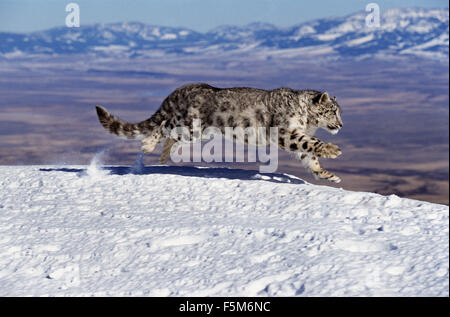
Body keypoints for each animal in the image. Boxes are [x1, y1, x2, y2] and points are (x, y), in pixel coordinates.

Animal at [96, 82, 342, 183]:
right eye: (333, 111)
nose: (340, 125)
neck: (307, 121)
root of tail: (184, 88)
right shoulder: (286, 132)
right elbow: (311, 142)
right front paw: (332, 149)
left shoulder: (294, 136)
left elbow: (308, 155)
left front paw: (327, 175)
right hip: (190, 124)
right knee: (164, 125)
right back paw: (148, 145)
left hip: (199, 132)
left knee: (171, 135)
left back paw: (164, 156)